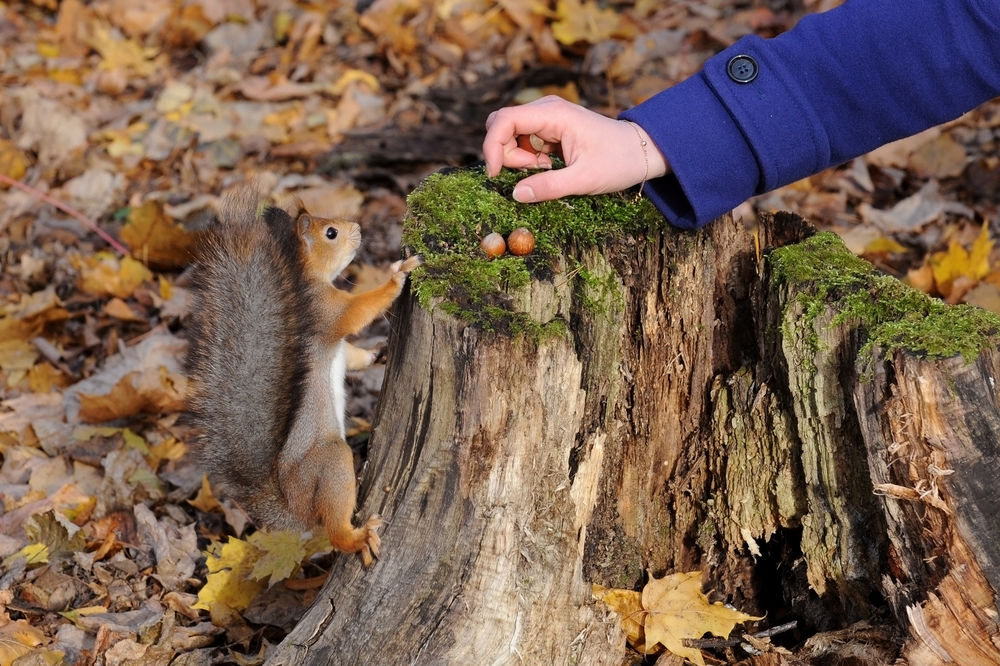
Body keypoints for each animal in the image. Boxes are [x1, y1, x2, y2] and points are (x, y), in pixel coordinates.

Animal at [186, 189, 420, 564]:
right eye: (330, 233)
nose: (357, 228)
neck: (306, 279)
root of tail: (293, 510)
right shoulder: (327, 311)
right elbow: (358, 311)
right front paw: (397, 277)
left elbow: (352, 356)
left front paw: (377, 354)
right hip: (330, 464)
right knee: (334, 528)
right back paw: (358, 537)